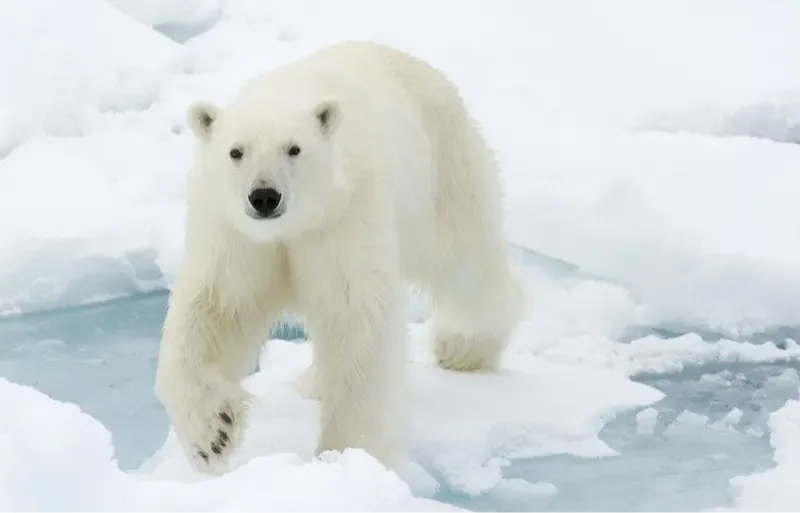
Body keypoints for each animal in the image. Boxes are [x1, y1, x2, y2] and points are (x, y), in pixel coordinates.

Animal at [154, 40, 524, 475]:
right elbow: (217, 308)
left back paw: (462, 348)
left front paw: (345, 455)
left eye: (294, 148)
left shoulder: (344, 216)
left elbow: (355, 317)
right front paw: (212, 434)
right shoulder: (236, 234)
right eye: (236, 151)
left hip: (442, 172)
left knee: (465, 266)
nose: (264, 196)